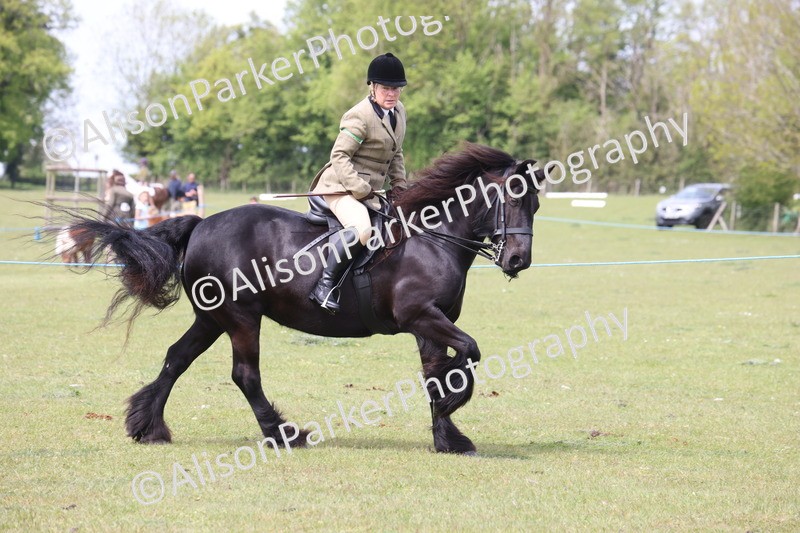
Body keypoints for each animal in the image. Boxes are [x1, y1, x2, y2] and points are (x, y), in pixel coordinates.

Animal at [68, 143, 545, 454]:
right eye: (511, 199)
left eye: (536, 205)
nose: (518, 260)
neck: (433, 237)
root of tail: (201, 224)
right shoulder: (420, 316)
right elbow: (468, 353)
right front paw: (451, 412)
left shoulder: (432, 323)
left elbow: (437, 374)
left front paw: (448, 438)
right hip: (240, 318)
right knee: (245, 375)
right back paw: (284, 435)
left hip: (212, 318)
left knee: (176, 358)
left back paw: (148, 427)